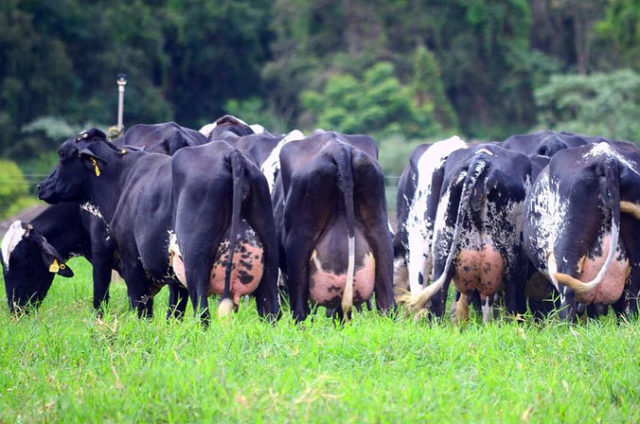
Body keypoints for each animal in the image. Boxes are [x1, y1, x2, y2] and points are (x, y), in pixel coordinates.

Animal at [37, 128, 278, 322]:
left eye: (61, 154)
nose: (41, 186)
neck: (123, 179)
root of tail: (230, 153)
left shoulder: (128, 260)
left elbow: (137, 308)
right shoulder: (173, 274)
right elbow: (174, 312)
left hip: (195, 260)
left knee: (203, 313)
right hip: (268, 261)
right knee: (271, 311)